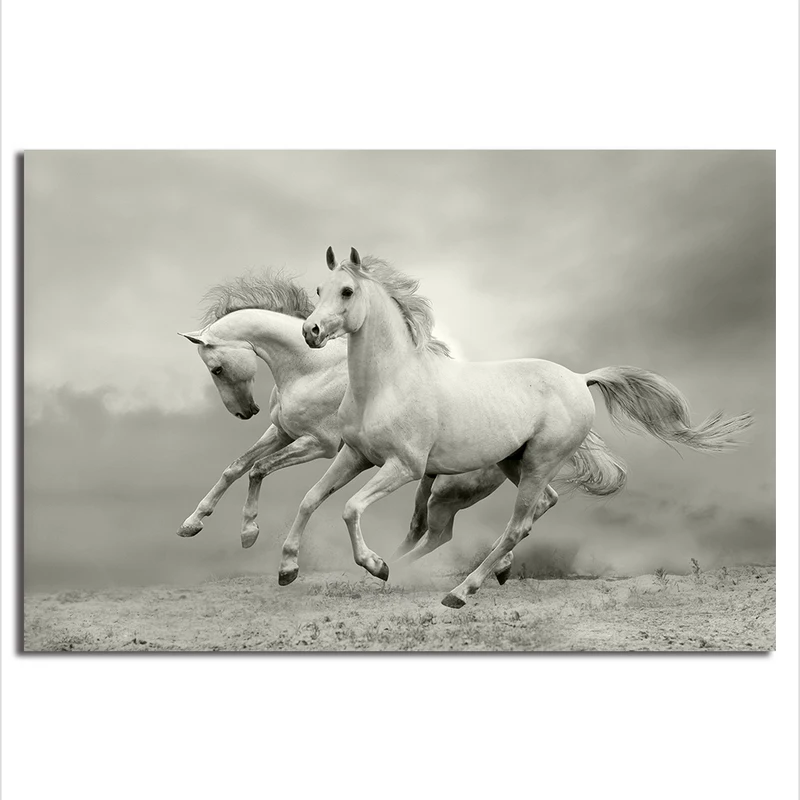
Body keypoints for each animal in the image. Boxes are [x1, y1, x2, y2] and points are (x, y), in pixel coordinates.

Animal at [281, 247, 753, 607]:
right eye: (320, 290)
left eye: (347, 291)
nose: (311, 331)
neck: (388, 383)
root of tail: (580, 378)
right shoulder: (355, 456)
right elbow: (309, 500)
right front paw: (287, 568)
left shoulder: (404, 467)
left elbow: (349, 508)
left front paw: (376, 565)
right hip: (515, 462)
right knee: (541, 505)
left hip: (540, 461)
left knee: (517, 525)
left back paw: (459, 591)